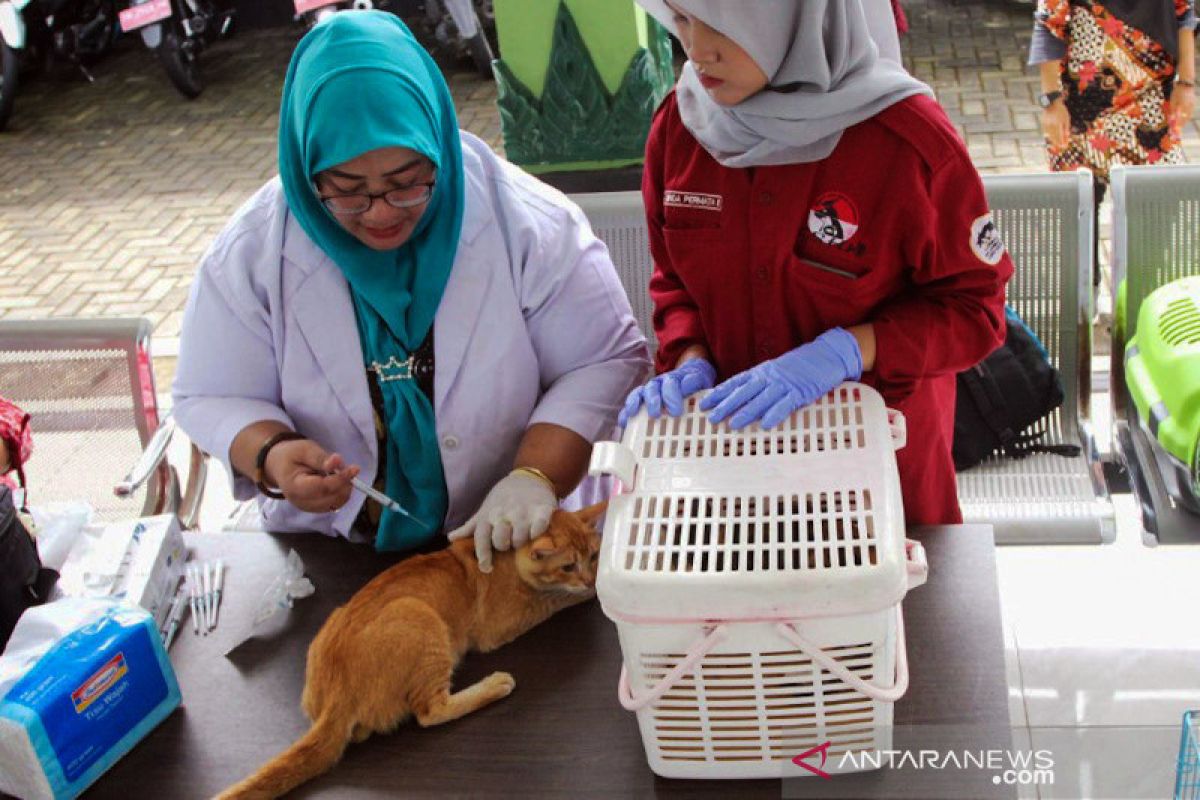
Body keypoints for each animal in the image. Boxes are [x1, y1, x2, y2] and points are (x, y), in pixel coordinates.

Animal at [216, 503, 604, 796]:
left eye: (594, 555)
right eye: (568, 565)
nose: (588, 577)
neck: (503, 556)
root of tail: (335, 697)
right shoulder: (505, 623)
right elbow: (555, 600)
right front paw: (594, 591)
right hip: (421, 620)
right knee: (431, 713)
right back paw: (494, 685)